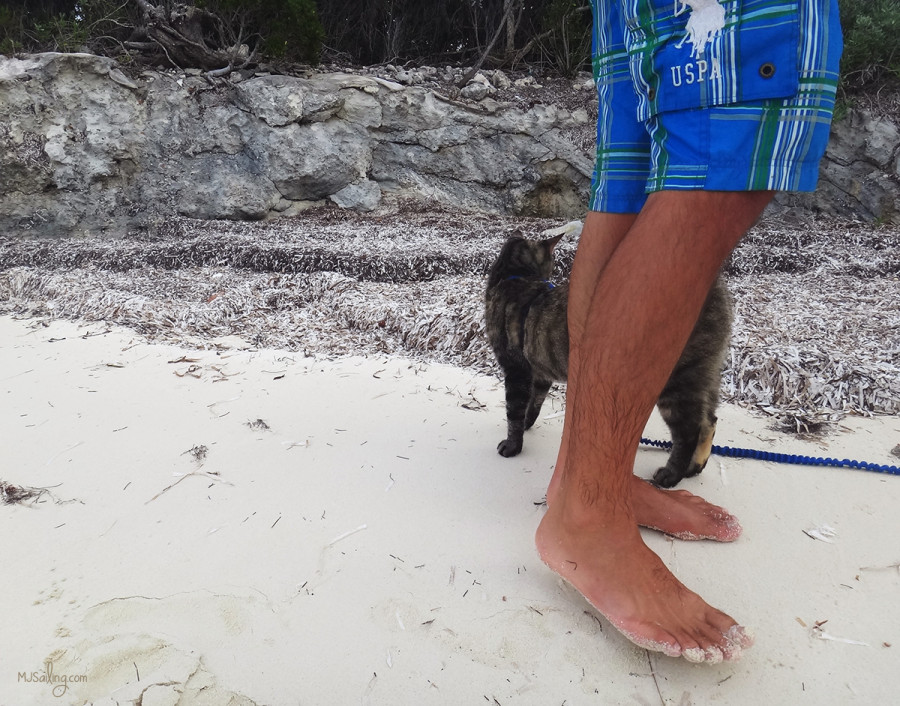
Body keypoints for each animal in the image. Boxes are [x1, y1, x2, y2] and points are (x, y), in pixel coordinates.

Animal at [486, 234, 732, 486]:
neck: (514, 276)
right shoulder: (540, 373)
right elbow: (533, 403)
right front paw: (528, 424)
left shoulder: (516, 370)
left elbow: (515, 411)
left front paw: (513, 445)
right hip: (703, 373)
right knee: (709, 420)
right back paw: (695, 466)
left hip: (676, 382)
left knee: (689, 431)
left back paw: (672, 475)